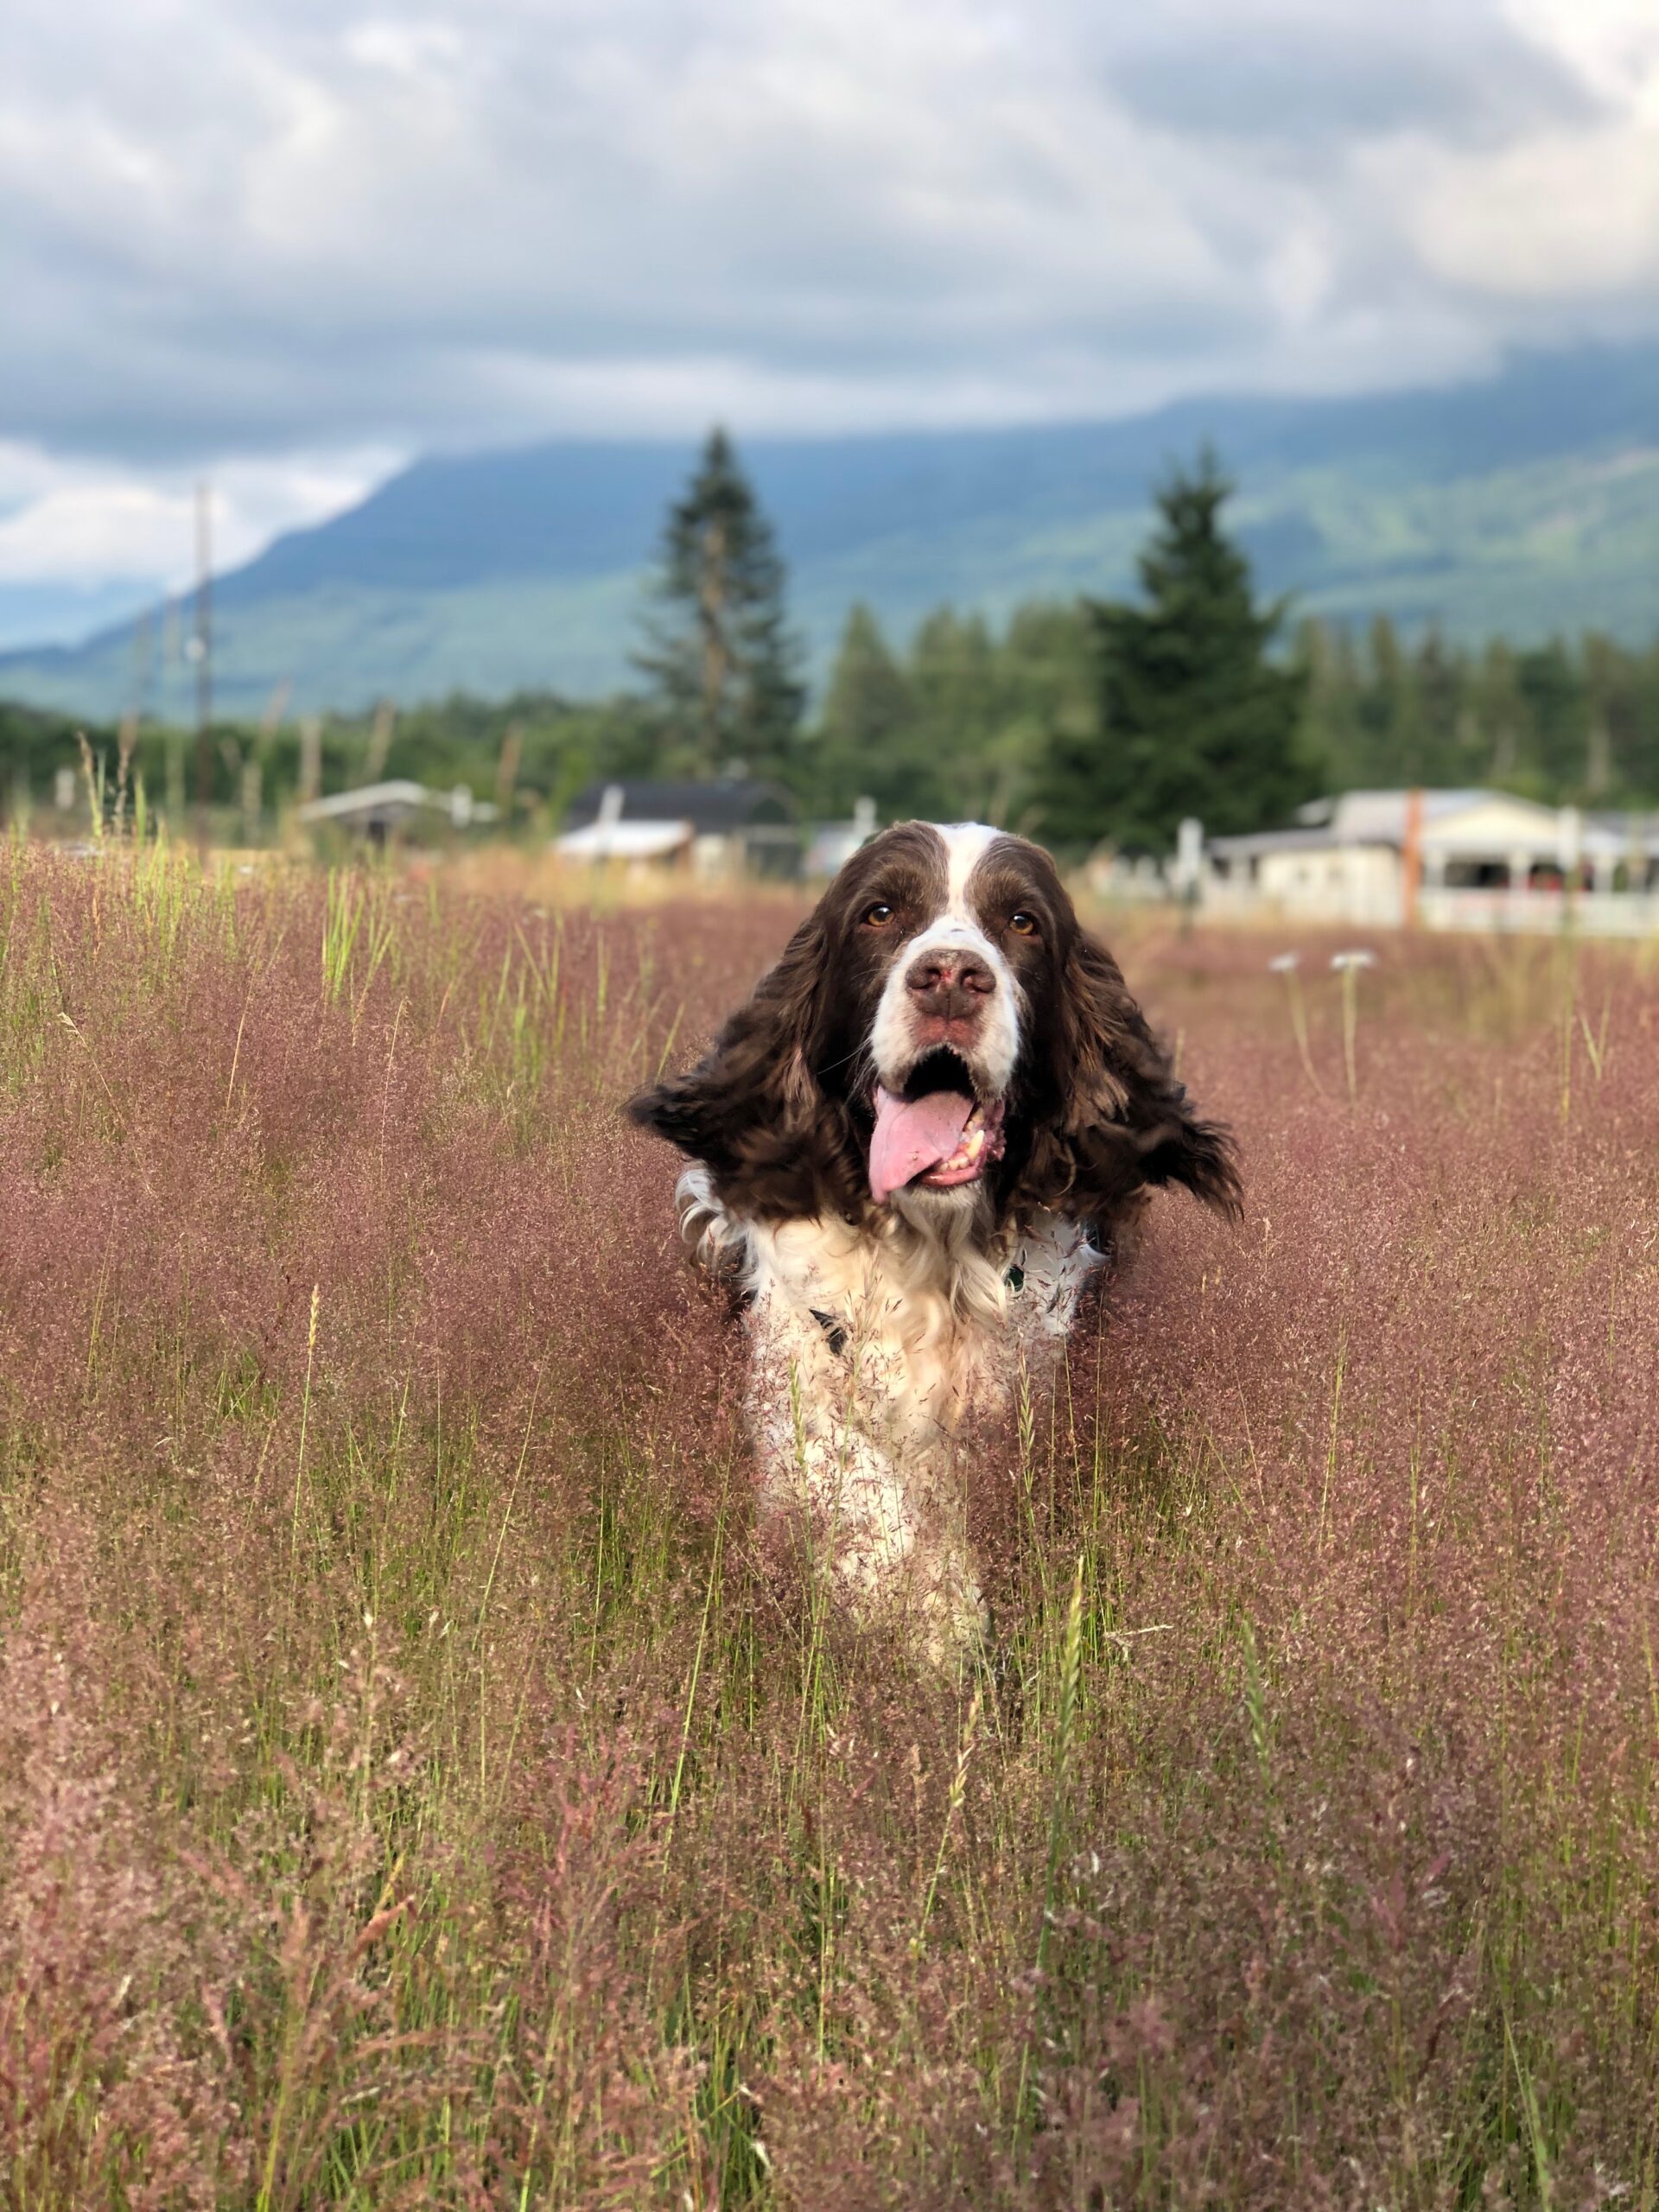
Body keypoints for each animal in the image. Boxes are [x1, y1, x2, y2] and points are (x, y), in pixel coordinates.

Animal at [629, 821, 1238, 1658]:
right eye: (880, 913)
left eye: (1023, 922)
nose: (951, 976)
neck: (935, 1254)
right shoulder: (798, 1361)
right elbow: (857, 1495)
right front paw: (933, 1621)